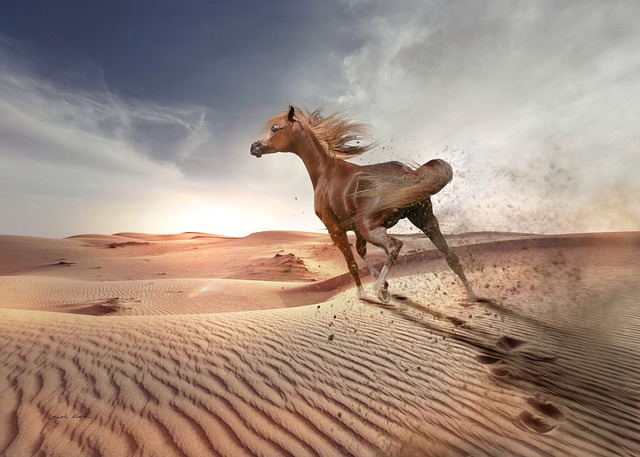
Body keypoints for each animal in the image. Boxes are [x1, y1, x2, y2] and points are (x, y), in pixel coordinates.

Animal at [250, 104, 480, 302]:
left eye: (274, 128)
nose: (254, 147)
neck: (325, 171)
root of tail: (407, 173)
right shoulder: (354, 228)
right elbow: (361, 252)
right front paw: (384, 284)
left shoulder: (335, 229)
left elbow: (351, 261)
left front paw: (366, 292)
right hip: (424, 219)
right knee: (450, 256)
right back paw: (472, 295)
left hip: (371, 226)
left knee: (395, 246)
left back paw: (378, 290)